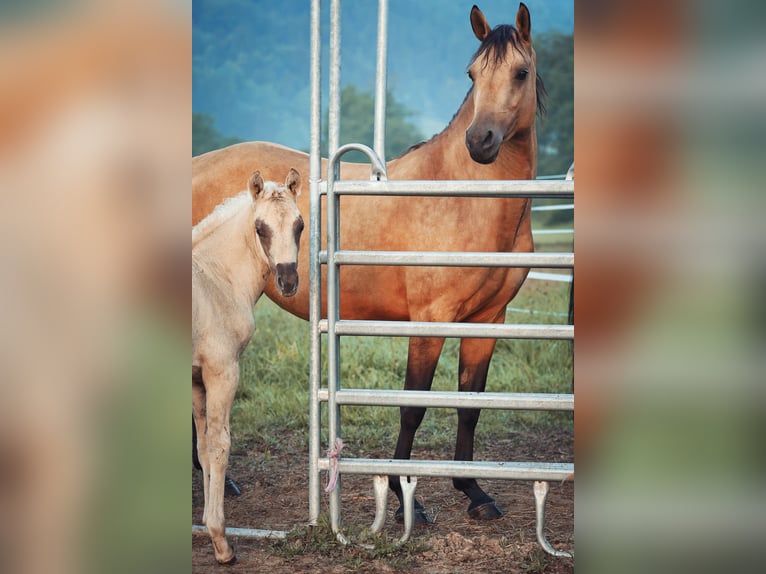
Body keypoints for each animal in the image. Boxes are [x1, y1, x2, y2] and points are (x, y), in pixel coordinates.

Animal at [192, 169, 304, 564]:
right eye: (260, 228)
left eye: (300, 224)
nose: (288, 281)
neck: (213, 280)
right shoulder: (223, 372)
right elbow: (220, 444)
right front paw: (221, 541)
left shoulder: (196, 380)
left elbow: (203, 446)